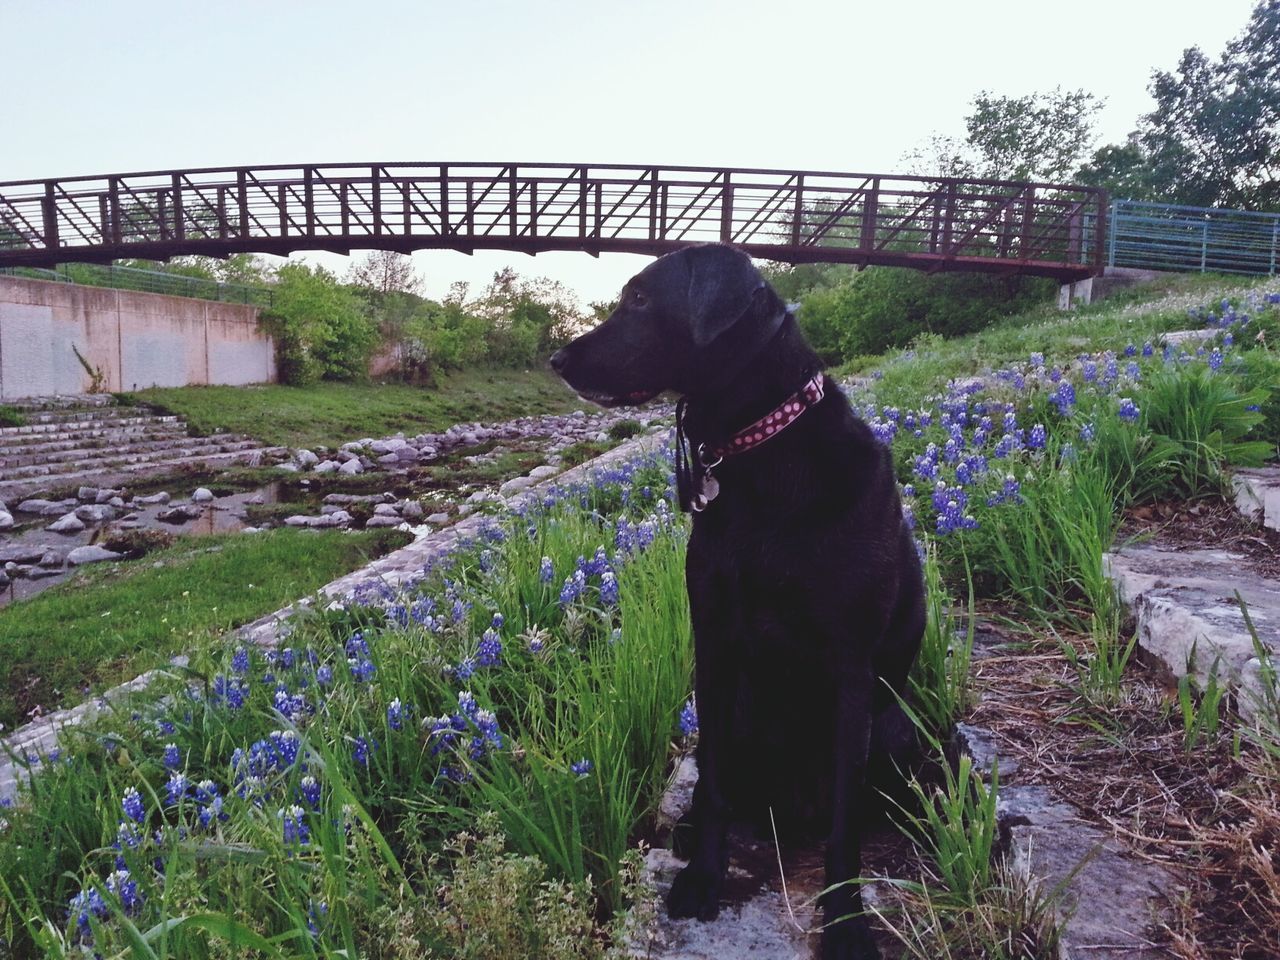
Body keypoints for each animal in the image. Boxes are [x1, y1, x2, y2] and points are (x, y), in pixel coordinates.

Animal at [550, 244, 921, 957]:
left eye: (640, 298)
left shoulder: (851, 665)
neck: (760, 456)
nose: (556, 359)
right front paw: (702, 876)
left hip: (894, 725)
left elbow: (845, 825)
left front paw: (846, 921)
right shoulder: (715, 643)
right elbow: (716, 788)